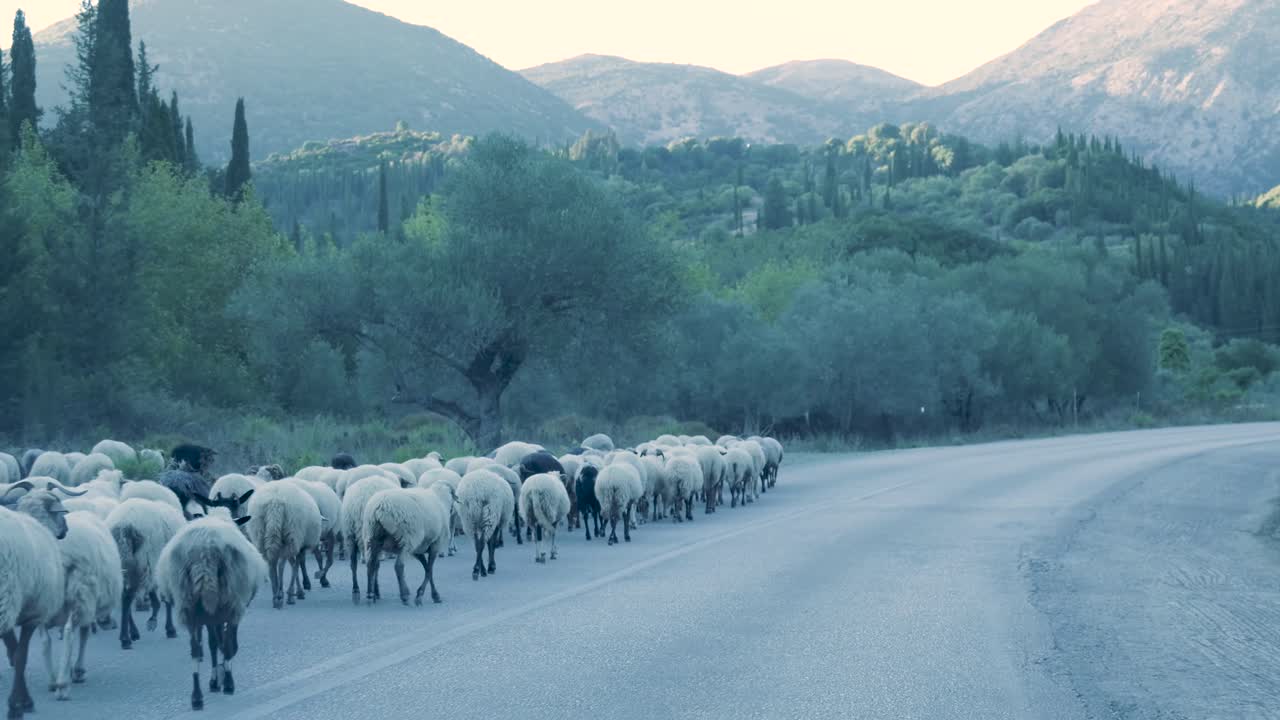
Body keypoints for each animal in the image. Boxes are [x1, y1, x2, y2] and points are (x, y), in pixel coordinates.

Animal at [0, 486, 69, 720]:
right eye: (60, 511)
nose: (66, 530)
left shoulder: (15, 609)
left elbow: (13, 654)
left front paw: (20, 700)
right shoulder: (33, 612)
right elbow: (20, 656)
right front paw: (19, 704)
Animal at [41, 511, 122, 701]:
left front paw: (69, 669)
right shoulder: (87, 604)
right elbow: (84, 635)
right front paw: (76, 671)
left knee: (46, 640)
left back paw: (53, 681)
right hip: (79, 593)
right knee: (69, 633)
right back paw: (62, 685)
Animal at [106, 498, 186, 649]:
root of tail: (124, 525)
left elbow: (156, 599)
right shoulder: (161, 571)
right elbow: (163, 601)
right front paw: (167, 628)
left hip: (126, 564)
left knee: (125, 597)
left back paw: (132, 632)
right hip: (144, 562)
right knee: (128, 597)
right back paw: (125, 638)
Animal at [155, 515, 266, 710]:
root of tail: (203, 551)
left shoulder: (209, 617)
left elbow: (213, 644)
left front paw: (215, 678)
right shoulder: (228, 612)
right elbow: (227, 645)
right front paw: (221, 675)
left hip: (188, 606)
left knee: (195, 650)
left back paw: (196, 696)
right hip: (230, 601)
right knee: (226, 645)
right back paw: (228, 683)